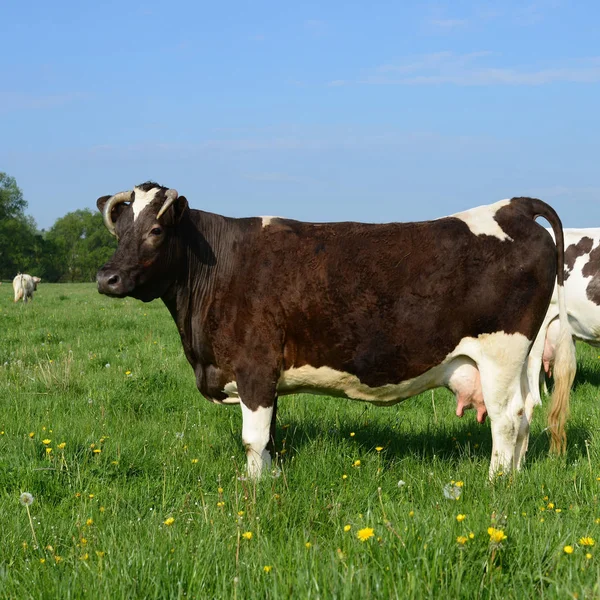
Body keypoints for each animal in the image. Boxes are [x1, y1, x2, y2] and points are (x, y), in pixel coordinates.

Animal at [96, 182, 576, 478]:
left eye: (156, 230)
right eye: (120, 231)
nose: (107, 278)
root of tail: (512, 206)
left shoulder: (254, 366)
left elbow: (253, 439)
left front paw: (250, 491)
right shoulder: (266, 377)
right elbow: (270, 438)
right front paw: (270, 481)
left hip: (500, 353)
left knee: (506, 419)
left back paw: (495, 483)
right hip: (520, 359)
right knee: (526, 413)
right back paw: (514, 476)